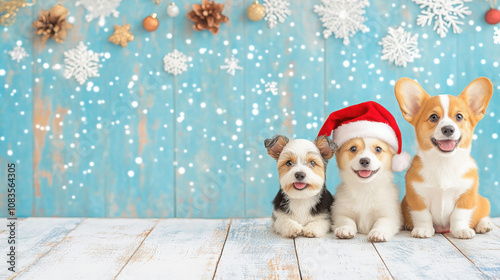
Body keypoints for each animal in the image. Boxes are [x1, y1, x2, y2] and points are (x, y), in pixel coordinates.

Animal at [394, 76, 496, 238]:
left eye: (459, 116)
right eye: (433, 117)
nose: (448, 129)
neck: (444, 163)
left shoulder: (467, 195)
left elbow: (459, 215)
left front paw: (461, 230)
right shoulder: (416, 196)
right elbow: (423, 215)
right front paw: (423, 229)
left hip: (482, 201)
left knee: (483, 213)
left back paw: (484, 225)